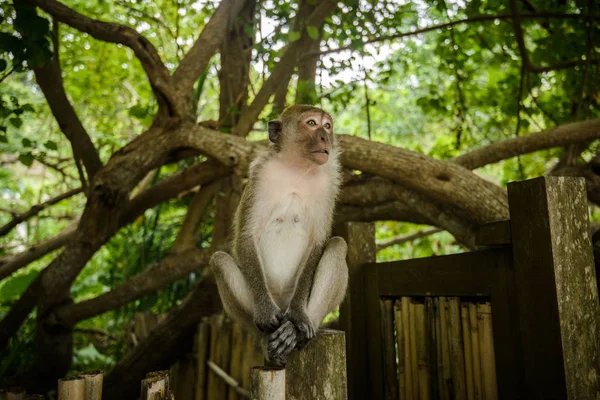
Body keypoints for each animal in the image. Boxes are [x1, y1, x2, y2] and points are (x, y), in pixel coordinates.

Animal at [211, 104, 350, 368]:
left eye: (327, 126)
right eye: (312, 123)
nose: (325, 137)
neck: (298, 167)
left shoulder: (329, 183)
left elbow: (319, 242)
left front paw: (298, 316)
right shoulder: (259, 175)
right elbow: (246, 236)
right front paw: (266, 313)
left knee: (338, 245)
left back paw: (296, 330)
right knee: (219, 260)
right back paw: (267, 338)